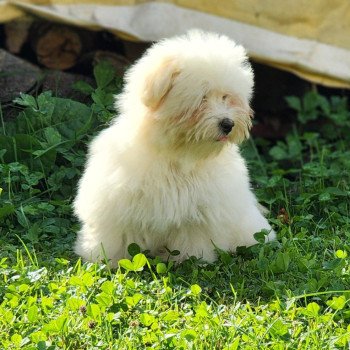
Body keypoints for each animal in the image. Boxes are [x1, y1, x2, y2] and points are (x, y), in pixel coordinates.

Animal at [74, 30, 276, 266]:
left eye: (226, 97)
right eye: (202, 97)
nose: (228, 124)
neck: (178, 155)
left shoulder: (196, 214)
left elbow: (190, 240)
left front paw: (188, 260)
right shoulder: (118, 202)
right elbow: (119, 237)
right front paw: (107, 259)